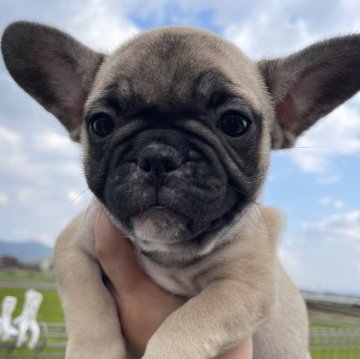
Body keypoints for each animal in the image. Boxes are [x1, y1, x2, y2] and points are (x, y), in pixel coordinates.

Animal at [1, 21, 358, 358]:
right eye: (101, 124)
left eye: (235, 123)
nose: (157, 154)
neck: (168, 254)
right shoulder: (73, 247)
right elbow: (89, 310)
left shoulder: (245, 286)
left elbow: (187, 322)